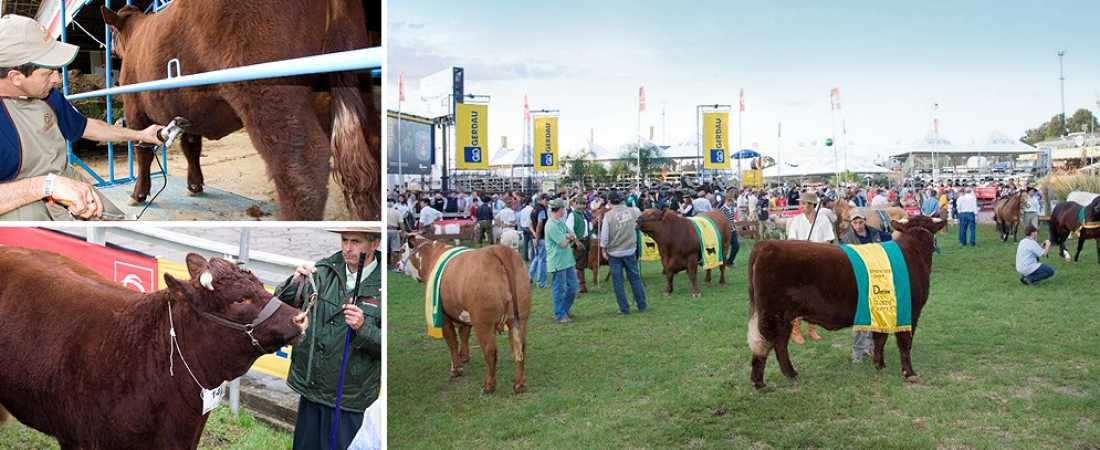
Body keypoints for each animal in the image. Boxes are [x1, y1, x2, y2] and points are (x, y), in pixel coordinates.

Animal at [400, 235, 532, 391]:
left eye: (402, 250)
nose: (397, 264)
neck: (431, 256)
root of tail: (499, 249)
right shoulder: (463, 314)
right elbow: (464, 334)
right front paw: (464, 357)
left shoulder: (443, 315)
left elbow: (452, 341)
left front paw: (456, 368)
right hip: (520, 317)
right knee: (520, 347)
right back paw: (519, 384)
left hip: (483, 322)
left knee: (490, 352)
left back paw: (488, 385)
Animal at [748, 213, 946, 389]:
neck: (914, 252)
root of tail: (766, 244)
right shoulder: (911, 310)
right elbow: (905, 342)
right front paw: (909, 373)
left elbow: (880, 338)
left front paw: (879, 364)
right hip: (774, 314)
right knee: (769, 343)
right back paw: (765, 381)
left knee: (775, 343)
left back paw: (783, 376)